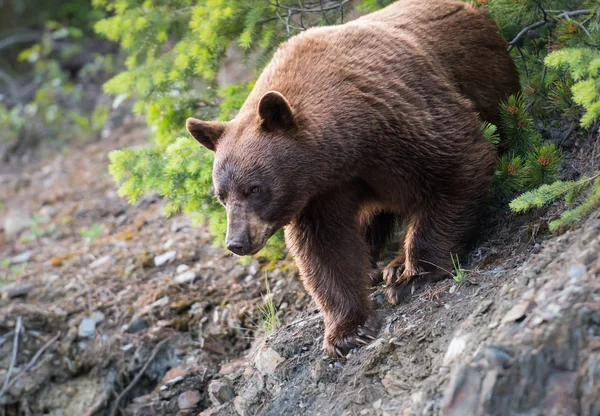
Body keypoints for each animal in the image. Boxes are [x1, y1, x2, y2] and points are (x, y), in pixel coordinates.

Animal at [186, 0, 520, 358]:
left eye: (254, 188)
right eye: (221, 195)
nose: (236, 242)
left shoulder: (403, 117)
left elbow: (459, 163)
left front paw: (413, 276)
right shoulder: (321, 192)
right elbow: (325, 247)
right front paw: (348, 331)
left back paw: (395, 266)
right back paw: (377, 267)